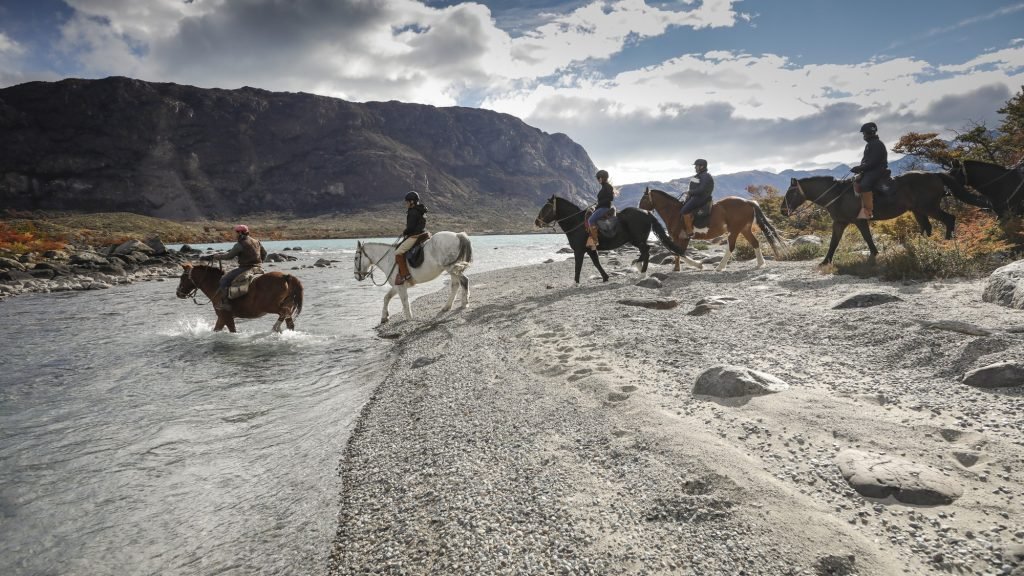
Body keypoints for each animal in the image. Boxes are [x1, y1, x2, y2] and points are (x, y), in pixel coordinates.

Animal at [536, 192, 688, 282]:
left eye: (546, 208)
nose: (537, 222)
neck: (577, 223)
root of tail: (647, 213)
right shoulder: (590, 249)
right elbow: (596, 263)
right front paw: (605, 277)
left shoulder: (579, 250)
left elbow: (578, 265)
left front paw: (575, 283)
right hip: (636, 240)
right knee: (645, 251)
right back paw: (638, 266)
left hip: (638, 240)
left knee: (646, 250)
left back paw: (641, 271)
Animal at [638, 186, 782, 270]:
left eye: (643, 199)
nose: (638, 212)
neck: (674, 212)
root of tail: (747, 202)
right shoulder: (677, 238)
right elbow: (677, 253)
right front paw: (677, 268)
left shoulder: (683, 238)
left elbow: (680, 252)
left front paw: (697, 265)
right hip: (744, 229)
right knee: (755, 243)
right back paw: (760, 263)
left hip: (734, 230)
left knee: (731, 247)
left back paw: (720, 267)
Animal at [778, 170, 987, 264]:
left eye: (790, 193)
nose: (782, 211)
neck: (837, 194)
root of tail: (935, 175)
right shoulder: (840, 223)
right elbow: (833, 243)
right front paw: (825, 261)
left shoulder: (859, 221)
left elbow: (867, 239)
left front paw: (874, 255)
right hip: (918, 210)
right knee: (926, 228)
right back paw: (923, 246)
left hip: (929, 208)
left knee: (949, 220)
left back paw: (946, 244)